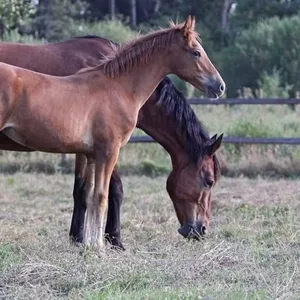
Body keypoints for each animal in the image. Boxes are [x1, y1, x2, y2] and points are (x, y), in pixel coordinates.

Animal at [0, 15, 225, 248]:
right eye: (209, 181)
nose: (200, 230)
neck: (117, 86)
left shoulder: (91, 153)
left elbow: (88, 194)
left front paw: (85, 242)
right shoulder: (108, 151)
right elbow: (103, 194)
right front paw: (105, 243)